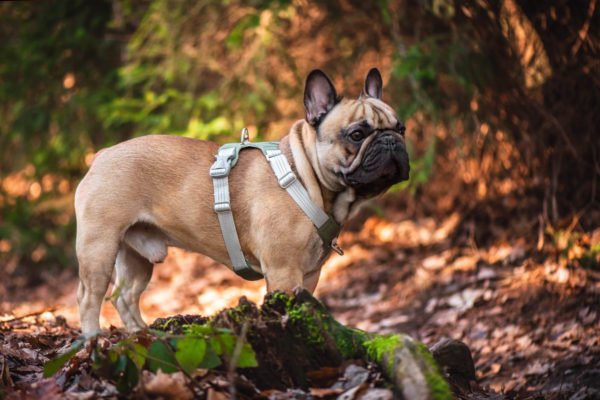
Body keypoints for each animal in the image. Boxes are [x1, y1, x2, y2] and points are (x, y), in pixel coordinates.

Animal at [75, 68, 408, 334]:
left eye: (401, 128)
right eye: (357, 134)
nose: (391, 140)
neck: (304, 177)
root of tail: (101, 156)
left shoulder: (310, 274)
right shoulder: (284, 271)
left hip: (136, 254)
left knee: (125, 295)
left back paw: (141, 334)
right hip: (99, 245)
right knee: (89, 297)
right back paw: (94, 340)